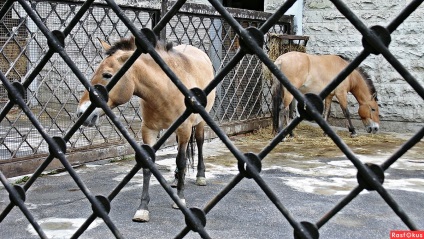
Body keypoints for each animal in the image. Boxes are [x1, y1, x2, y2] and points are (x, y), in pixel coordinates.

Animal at [76, 36, 215, 222]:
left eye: (107, 75)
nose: (81, 113)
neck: (165, 89)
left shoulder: (184, 129)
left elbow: (182, 160)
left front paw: (180, 199)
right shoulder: (149, 130)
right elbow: (149, 165)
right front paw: (142, 209)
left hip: (199, 123)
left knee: (199, 142)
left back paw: (200, 176)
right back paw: (176, 179)